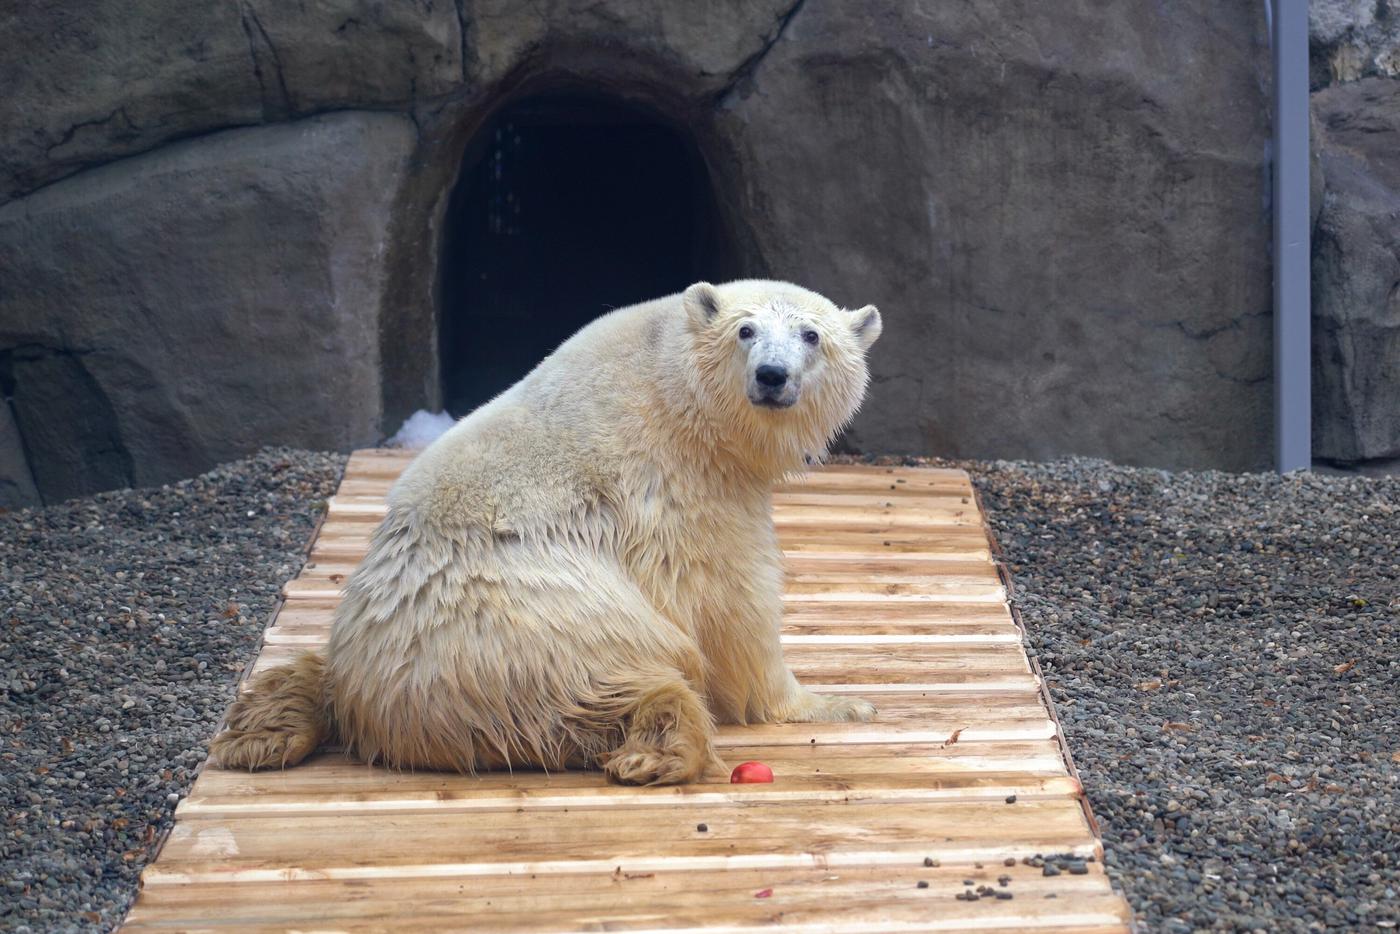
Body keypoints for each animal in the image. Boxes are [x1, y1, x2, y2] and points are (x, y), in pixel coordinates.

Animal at [212, 281, 879, 784]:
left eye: (811, 335)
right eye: (745, 331)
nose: (772, 375)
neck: (674, 388)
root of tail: (376, 705)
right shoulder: (679, 487)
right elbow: (731, 604)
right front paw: (837, 702)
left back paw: (260, 730)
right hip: (536, 633)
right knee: (609, 684)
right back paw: (658, 750)